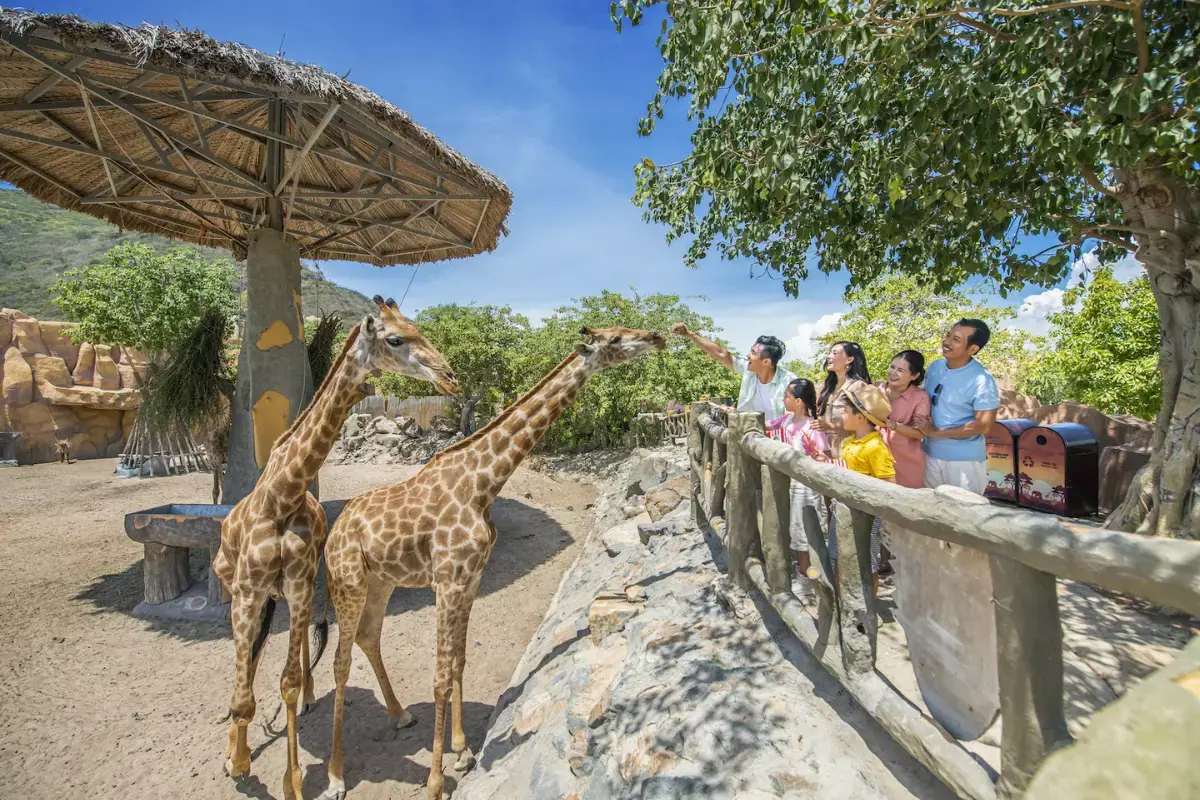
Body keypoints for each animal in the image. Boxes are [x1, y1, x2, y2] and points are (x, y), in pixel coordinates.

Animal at [211, 297, 458, 800]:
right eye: (396, 338)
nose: (449, 376)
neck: (282, 495)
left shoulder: (299, 586)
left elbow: (285, 681)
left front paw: (292, 782)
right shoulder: (246, 591)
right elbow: (245, 691)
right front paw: (238, 759)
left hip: (293, 595)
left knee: (295, 653)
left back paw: (310, 700)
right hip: (242, 590)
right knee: (250, 658)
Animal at [316, 326, 667, 800]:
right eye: (613, 339)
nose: (657, 336)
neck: (483, 484)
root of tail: (334, 532)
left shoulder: (472, 578)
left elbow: (459, 660)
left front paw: (463, 751)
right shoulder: (448, 580)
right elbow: (439, 674)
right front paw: (435, 782)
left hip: (382, 581)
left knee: (369, 637)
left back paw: (401, 715)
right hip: (347, 581)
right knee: (340, 659)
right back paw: (336, 776)